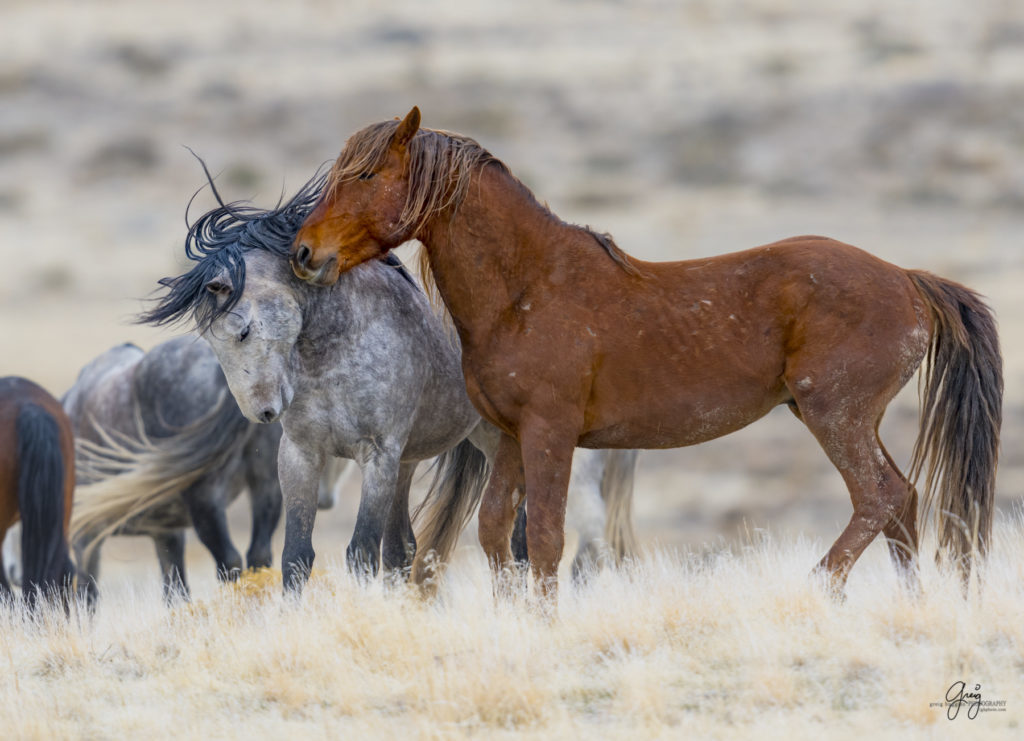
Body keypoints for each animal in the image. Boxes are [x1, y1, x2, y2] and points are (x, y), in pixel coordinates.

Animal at [142, 170, 638, 593]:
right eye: (210, 343)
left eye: (242, 330)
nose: (262, 411)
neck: (334, 352)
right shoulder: (302, 455)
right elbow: (298, 556)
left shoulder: (377, 456)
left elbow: (361, 552)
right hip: (411, 462)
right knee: (408, 549)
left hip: (494, 446)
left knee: (515, 540)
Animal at [292, 106, 1003, 605]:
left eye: (366, 174)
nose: (303, 253)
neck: (527, 286)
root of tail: (906, 279)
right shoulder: (511, 436)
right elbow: (498, 532)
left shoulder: (549, 433)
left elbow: (543, 537)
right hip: (839, 417)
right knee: (902, 503)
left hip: (837, 416)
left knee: (881, 497)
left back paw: (819, 589)